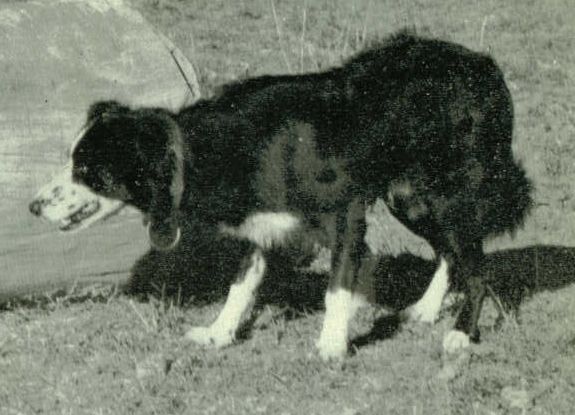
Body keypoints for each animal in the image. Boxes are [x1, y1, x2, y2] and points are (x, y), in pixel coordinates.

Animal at [71, 32, 532, 360]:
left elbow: (338, 286)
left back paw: (460, 333)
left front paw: (332, 345)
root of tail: (484, 65)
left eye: (87, 173)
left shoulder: (346, 213)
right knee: (451, 252)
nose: (47, 200)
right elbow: (241, 285)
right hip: (410, 197)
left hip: (447, 195)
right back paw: (426, 309)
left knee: (477, 265)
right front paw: (219, 334)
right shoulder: (264, 224)